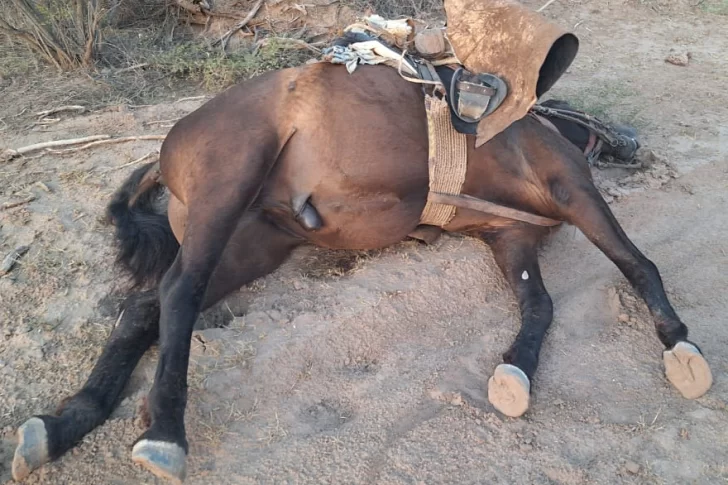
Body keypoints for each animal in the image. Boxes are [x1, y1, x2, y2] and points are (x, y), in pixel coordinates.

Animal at [11, 62, 712, 483]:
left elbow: (539, 308)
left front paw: (514, 372)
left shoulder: (511, 240)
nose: (632, 138)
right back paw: (163, 430)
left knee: (144, 307)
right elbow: (639, 262)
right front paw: (680, 344)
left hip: (253, 243)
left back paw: (66, 422)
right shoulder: (573, 189)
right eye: (585, 112)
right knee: (178, 294)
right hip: (226, 187)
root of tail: (170, 148)